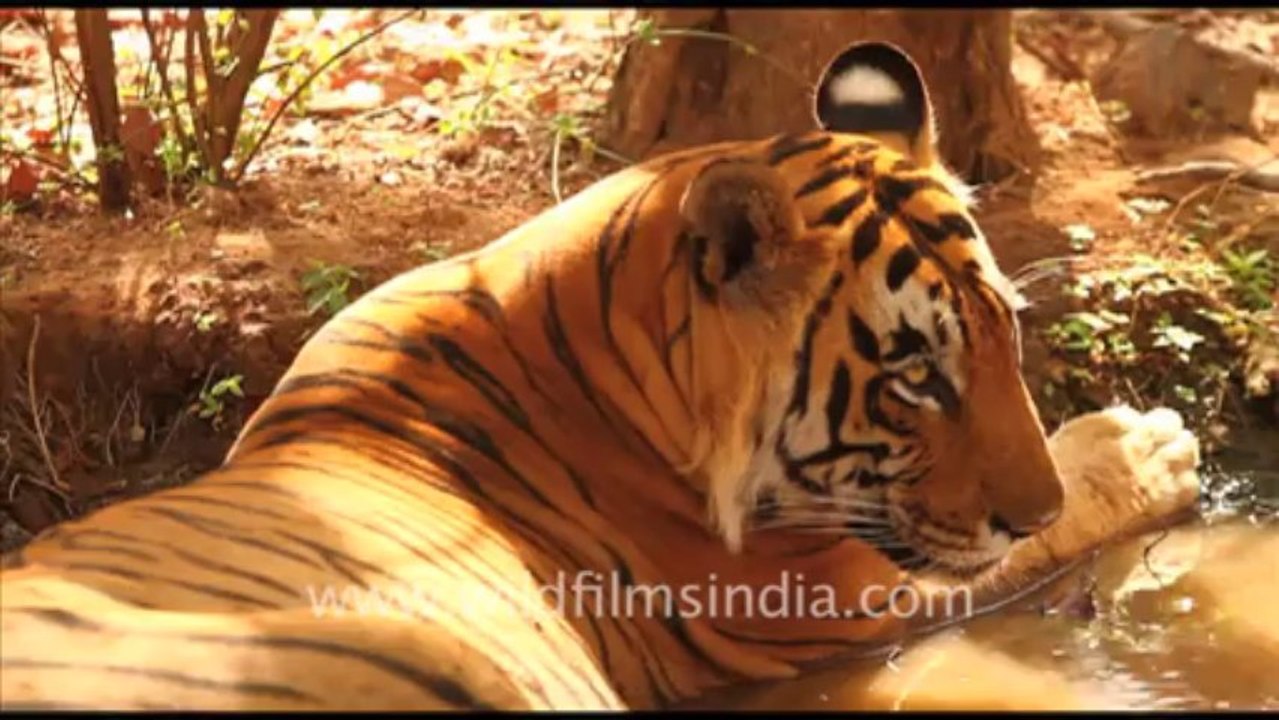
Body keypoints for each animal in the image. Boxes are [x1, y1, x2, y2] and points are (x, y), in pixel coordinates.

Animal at [0, 41, 1201, 711]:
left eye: (1004, 339)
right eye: (914, 377)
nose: (1022, 503)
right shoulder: (836, 598)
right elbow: (1051, 532)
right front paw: (1144, 446)